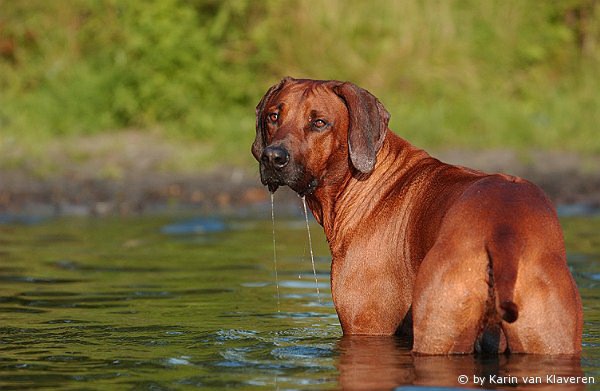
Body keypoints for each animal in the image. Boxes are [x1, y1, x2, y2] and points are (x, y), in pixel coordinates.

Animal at [251, 76, 584, 356]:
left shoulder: (368, 326)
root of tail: (504, 230)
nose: (273, 157)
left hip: (438, 325)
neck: (365, 180)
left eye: (319, 122)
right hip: (550, 337)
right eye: (273, 116)